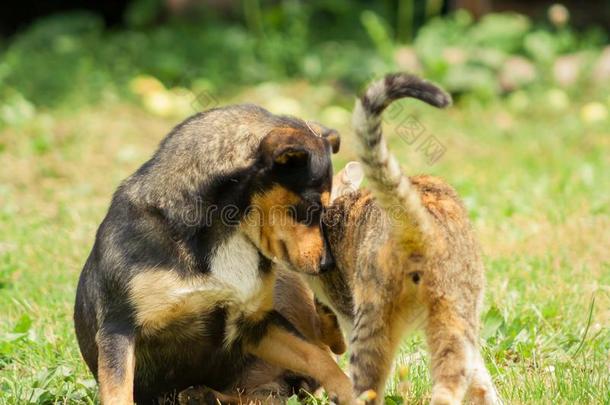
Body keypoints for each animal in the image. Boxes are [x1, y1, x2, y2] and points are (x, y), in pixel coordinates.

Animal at [73, 105, 354, 404]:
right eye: (312, 206)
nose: (327, 264)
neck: (224, 230)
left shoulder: (256, 324)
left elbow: (317, 358)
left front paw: (352, 391)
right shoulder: (119, 328)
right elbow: (118, 392)